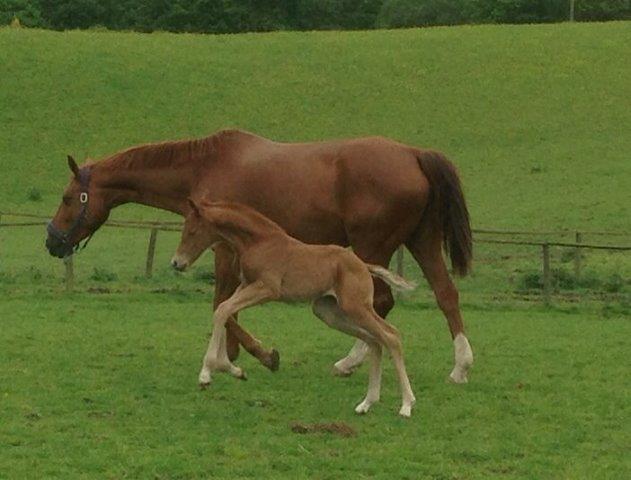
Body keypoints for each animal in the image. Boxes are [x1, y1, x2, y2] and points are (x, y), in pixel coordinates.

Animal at [173, 199, 420, 416]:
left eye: (192, 231)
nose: (177, 263)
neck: (258, 242)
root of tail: (362, 265)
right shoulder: (246, 285)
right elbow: (224, 311)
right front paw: (232, 369)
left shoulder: (267, 288)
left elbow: (223, 310)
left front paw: (206, 374)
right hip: (329, 312)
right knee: (375, 341)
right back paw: (367, 403)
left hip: (356, 307)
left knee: (391, 335)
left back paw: (406, 404)